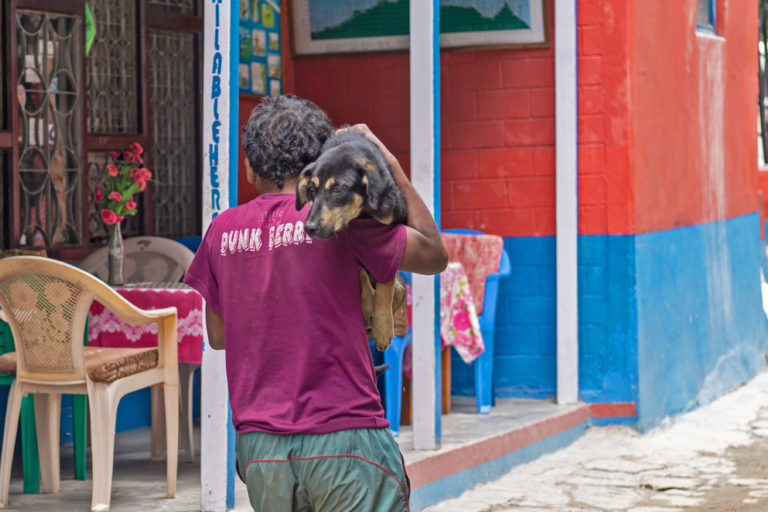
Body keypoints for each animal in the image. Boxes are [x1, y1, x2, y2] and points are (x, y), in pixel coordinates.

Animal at [296, 130, 408, 350]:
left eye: (338, 188)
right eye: (312, 190)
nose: (309, 228)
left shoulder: (394, 220)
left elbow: (386, 280)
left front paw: (383, 326)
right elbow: (361, 272)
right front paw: (367, 305)